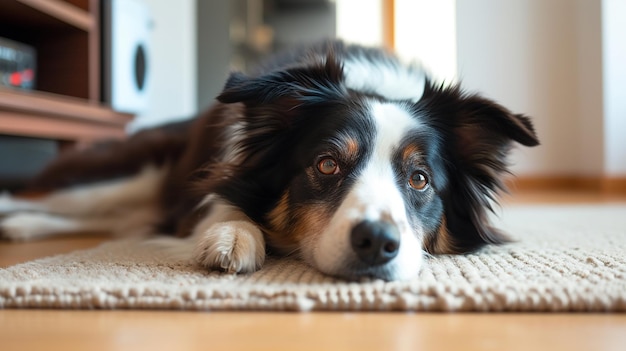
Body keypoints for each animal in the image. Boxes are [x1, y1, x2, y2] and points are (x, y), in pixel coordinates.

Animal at [0, 41, 536, 282]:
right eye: (326, 165)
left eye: (420, 179)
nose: (378, 243)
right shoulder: (216, 178)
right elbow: (223, 203)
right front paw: (233, 235)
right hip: (127, 176)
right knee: (62, 199)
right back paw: (16, 216)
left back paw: (23, 227)